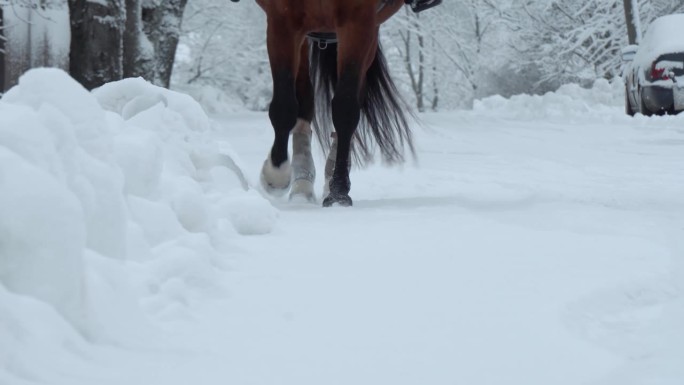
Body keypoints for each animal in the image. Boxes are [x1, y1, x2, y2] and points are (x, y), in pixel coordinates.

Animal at [254, 0, 436, 207]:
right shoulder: (282, 19)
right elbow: (283, 105)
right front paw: (275, 175)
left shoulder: (358, 21)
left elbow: (346, 109)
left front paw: (338, 191)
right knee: (304, 96)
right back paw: (302, 186)